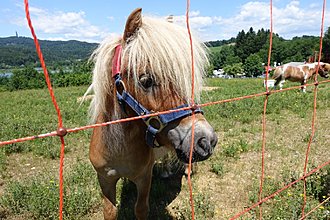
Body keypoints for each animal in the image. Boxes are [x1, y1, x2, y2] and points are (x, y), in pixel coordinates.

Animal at [87, 7, 219, 219]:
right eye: (146, 80)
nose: (206, 140)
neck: (118, 149)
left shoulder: (144, 177)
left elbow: (141, 209)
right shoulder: (104, 180)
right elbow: (110, 211)